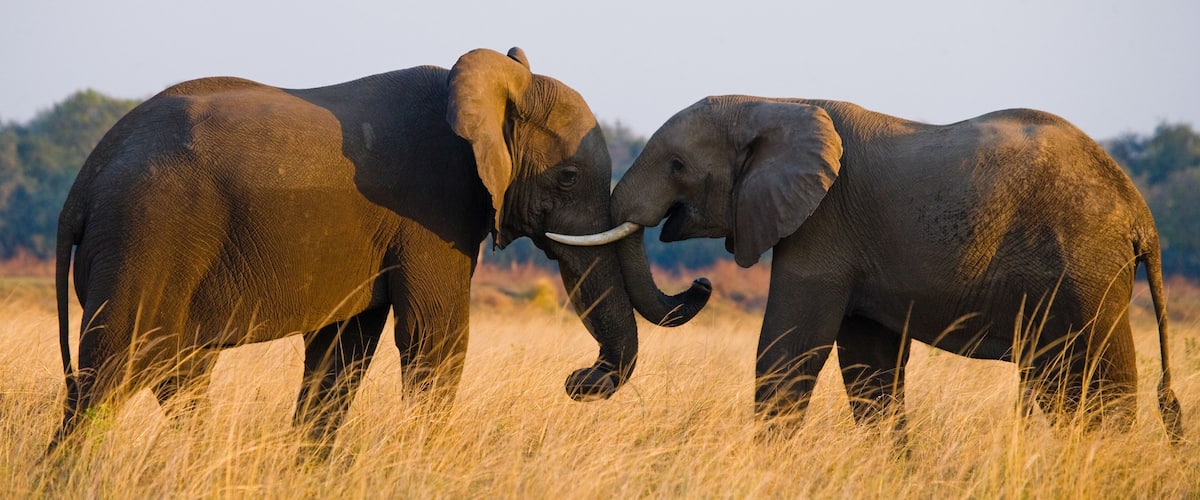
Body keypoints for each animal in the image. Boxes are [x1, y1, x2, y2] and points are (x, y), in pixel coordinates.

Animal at [49, 47, 711, 451]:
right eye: (569, 178)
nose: (578, 379)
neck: (496, 86)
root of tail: (83, 184)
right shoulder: (432, 208)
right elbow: (435, 338)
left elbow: (342, 351)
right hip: (144, 236)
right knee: (108, 375)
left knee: (179, 374)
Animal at [552, 95, 1183, 442]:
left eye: (678, 165)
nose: (577, 381)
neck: (776, 101)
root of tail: (1141, 214)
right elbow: (869, 368)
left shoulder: (824, 225)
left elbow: (790, 349)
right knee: (1057, 380)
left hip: (1087, 267)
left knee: (1102, 374)